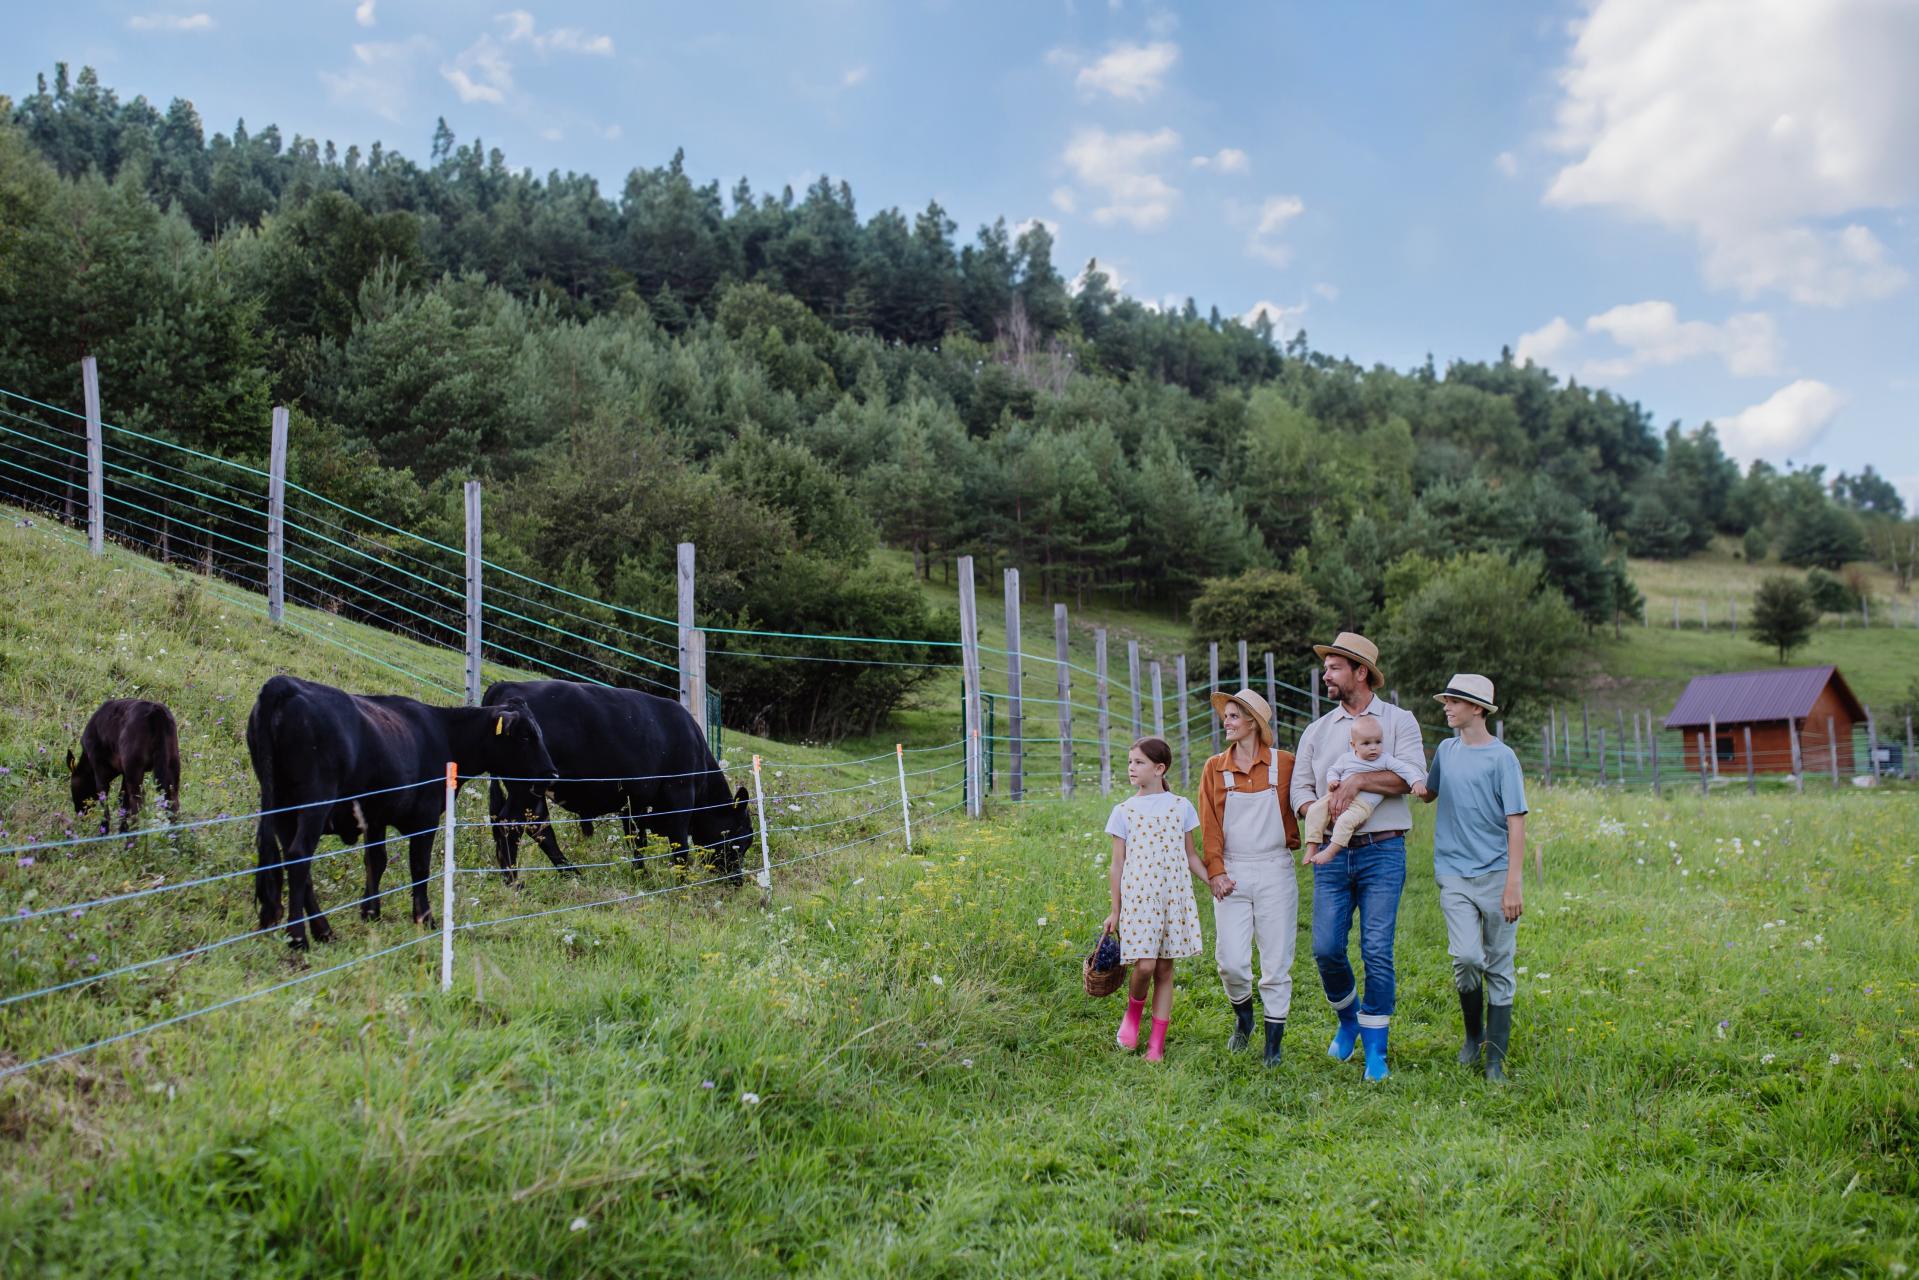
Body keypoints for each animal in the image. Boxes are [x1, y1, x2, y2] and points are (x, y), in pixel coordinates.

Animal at [68, 694, 182, 836]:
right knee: (173, 801)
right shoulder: (124, 772)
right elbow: (122, 799)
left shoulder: (98, 764)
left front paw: (104, 831)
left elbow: (104, 797)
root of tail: (156, 711)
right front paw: (121, 829)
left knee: (137, 803)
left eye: (73, 787)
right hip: (172, 762)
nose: (79, 813)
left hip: (134, 765)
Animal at [243, 675, 560, 948]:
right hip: (314, 804)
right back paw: (299, 938)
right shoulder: (426, 819)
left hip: (282, 808)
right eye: (524, 737)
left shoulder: (375, 817)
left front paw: (371, 912)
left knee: (291, 859)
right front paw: (425, 918)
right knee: (299, 857)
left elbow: (376, 861)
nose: (551, 774)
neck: (445, 735)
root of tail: (283, 684)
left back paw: (324, 931)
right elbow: (419, 867)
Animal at [477, 687, 748, 886]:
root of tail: (505, 686)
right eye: (741, 838)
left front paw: (641, 875)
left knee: (539, 828)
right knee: (511, 824)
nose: (737, 881)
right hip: (526, 787)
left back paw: (570, 873)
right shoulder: (679, 798)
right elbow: (679, 846)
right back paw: (514, 882)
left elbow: (637, 842)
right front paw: (682, 884)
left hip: (532, 792)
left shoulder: (635, 805)